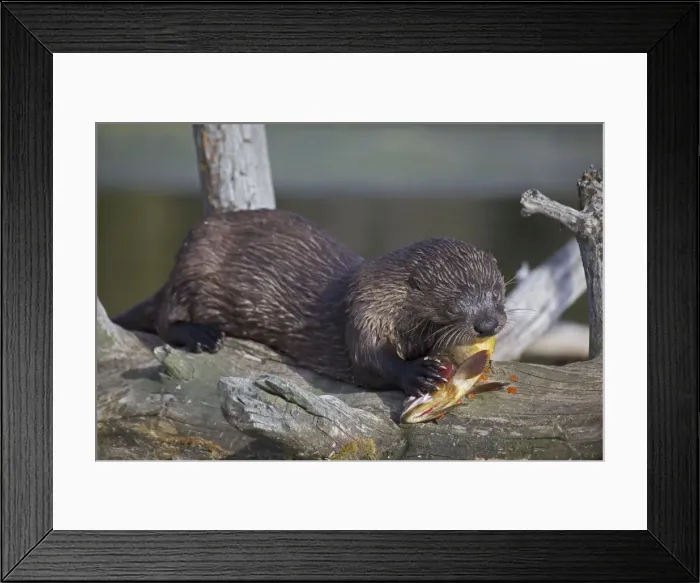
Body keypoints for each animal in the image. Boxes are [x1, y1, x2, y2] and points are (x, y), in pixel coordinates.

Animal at [112, 208, 507, 399]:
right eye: (456, 301)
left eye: (496, 292)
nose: (488, 324)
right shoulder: (365, 311)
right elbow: (370, 361)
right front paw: (418, 373)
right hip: (195, 262)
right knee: (166, 319)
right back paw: (201, 335)